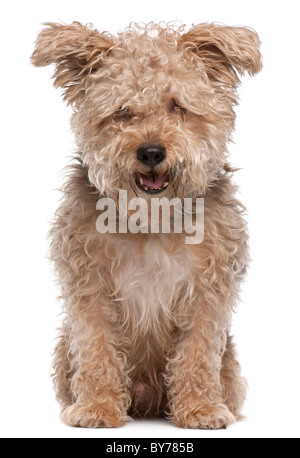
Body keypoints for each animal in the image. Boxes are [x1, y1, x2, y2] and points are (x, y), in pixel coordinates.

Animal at [31, 21, 262, 430]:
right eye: (122, 111)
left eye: (178, 106)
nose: (151, 152)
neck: (152, 220)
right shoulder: (89, 290)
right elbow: (97, 349)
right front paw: (97, 406)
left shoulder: (208, 294)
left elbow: (197, 352)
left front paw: (200, 408)